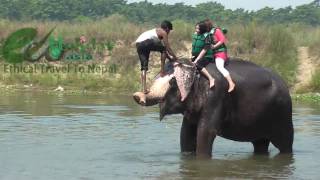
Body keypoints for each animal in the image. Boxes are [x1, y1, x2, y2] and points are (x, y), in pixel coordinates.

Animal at [132, 58, 292, 158]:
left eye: (172, 82)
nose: (136, 96)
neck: (198, 69)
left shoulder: (216, 96)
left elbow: (206, 132)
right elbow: (186, 134)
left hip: (282, 114)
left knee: (284, 144)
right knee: (260, 143)